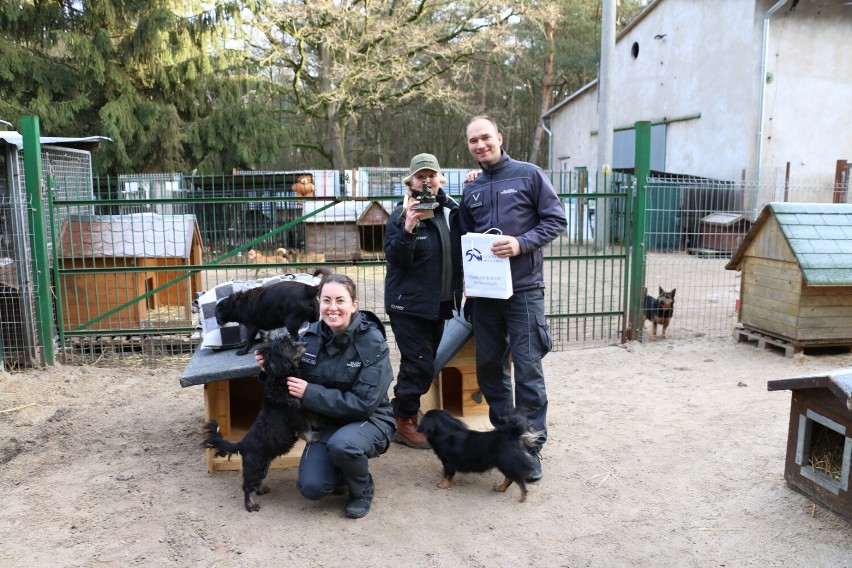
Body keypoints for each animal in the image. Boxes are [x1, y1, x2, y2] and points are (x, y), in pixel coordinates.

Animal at [204, 336, 308, 512]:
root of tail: (242, 444)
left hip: (263, 465)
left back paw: (261, 489)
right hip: (254, 466)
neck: (280, 381)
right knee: (247, 487)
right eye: (287, 346)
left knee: (255, 482)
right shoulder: (295, 412)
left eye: (291, 339)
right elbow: (306, 427)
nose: (305, 343)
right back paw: (250, 505)